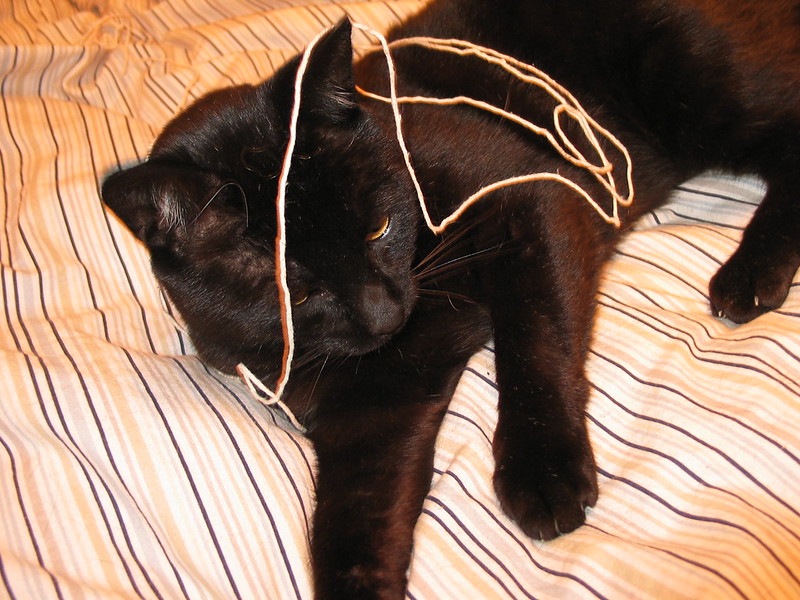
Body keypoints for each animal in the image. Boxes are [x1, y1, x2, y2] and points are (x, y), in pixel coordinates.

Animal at [101, 2, 800, 596]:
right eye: (297, 288)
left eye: (379, 228)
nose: (384, 312)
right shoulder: (373, 416)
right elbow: (352, 528)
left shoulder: (532, 197)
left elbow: (534, 343)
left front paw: (543, 471)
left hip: (692, 76)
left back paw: (748, 276)